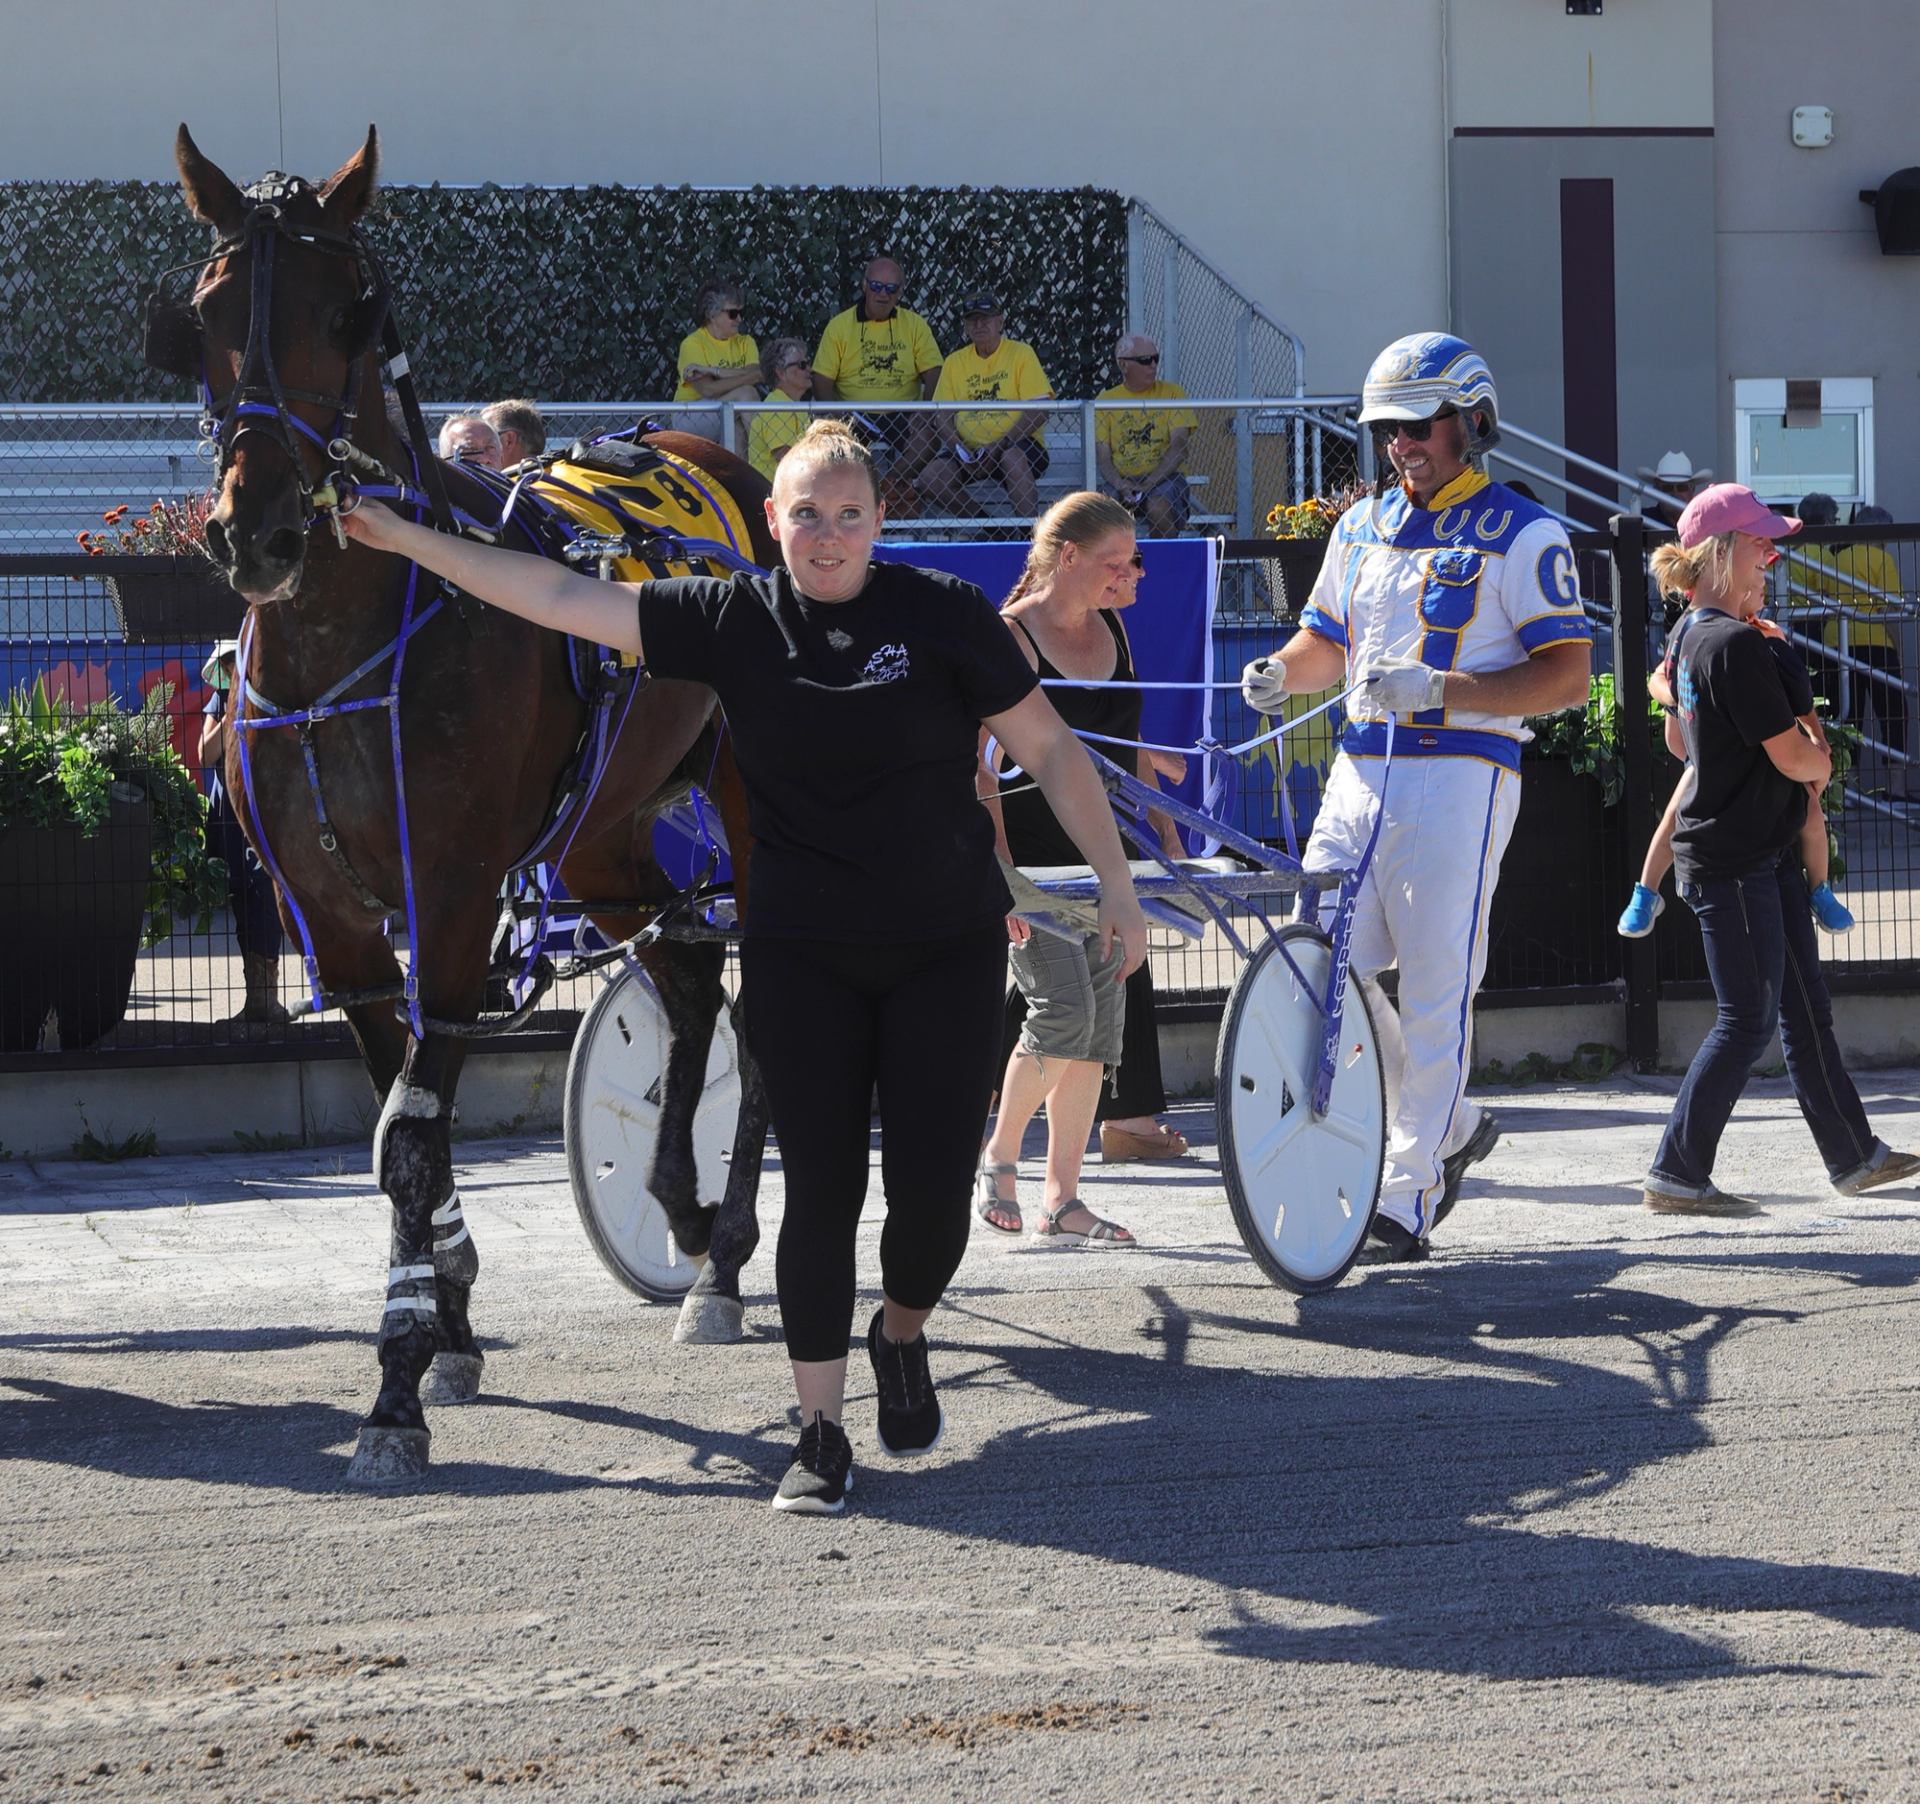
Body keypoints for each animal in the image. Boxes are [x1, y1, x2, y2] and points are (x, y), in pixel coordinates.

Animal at [159, 125, 770, 1486]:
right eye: (202, 314)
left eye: (350, 308)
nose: (255, 532)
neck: (351, 636)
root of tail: (706, 454)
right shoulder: (337, 921)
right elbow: (400, 1112)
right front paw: (447, 1311)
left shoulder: (447, 899)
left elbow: (410, 1129)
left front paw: (396, 1387)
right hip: (600, 830)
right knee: (689, 974)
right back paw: (686, 1214)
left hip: (754, 805)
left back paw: (725, 1254)